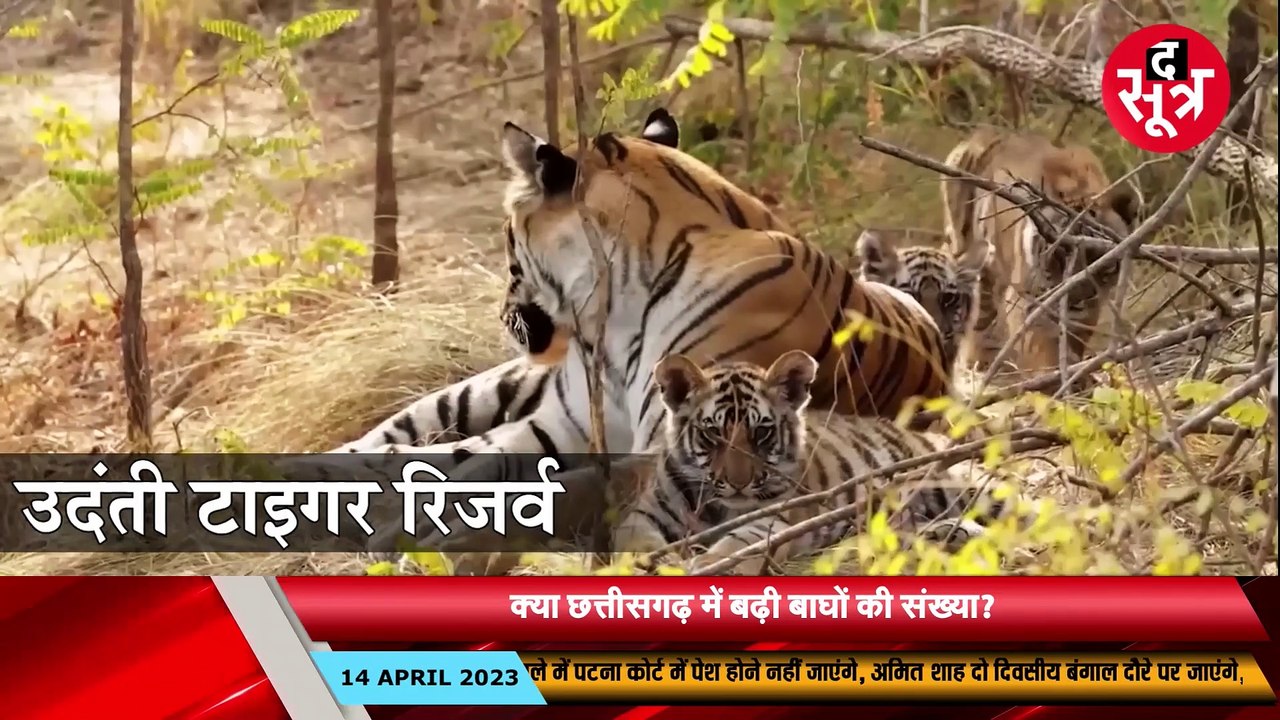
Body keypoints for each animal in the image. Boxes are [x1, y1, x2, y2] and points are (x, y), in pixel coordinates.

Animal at [941, 128, 1141, 374]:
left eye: (1098, 255)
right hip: (964, 245)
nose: (1076, 300)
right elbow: (1043, 348)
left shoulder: (1090, 308)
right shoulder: (1029, 300)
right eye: (1059, 254)